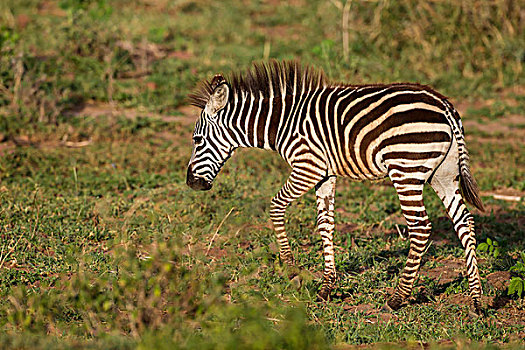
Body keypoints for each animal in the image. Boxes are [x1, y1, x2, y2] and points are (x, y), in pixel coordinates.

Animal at [186, 60, 486, 314]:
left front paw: (291, 270)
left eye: (197, 140)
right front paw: (327, 286)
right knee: (464, 221)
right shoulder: (325, 174)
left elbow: (276, 207)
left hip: (406, 169)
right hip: (443, 173)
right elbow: (325, 224)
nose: (191, 183)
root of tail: (444, 105)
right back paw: (477, 300)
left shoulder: (307, 167)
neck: (281, 124)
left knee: (421, 228)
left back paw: (398, 297)